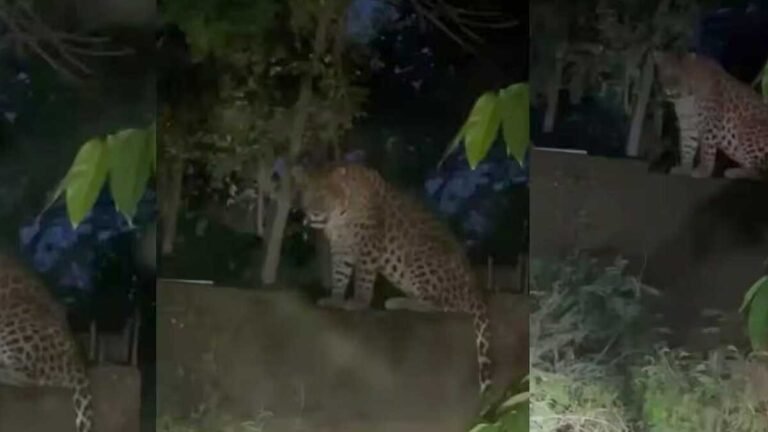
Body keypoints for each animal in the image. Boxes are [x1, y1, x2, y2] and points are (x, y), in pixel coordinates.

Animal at [295, 162, 494, 395]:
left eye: (324, 195)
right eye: (306, 196)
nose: (314, 213)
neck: (341, 216)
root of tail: (477, 290)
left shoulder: (369, 241)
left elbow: (363, 277)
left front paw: (359, 302)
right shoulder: (341, 246)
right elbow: (339, 274)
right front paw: (335, 298)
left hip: (420, 257)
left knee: (443, 305)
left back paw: (397, 301)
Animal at [653, 50, 768, 180]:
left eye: (678, 76)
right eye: (666, 73)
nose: (669, 90)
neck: (685, 99)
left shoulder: (710, 123)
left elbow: (707, 149)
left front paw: (703, 170)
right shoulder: (688, 126)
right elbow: (687, 147)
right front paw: (684, 168)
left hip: (748, 129)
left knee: (758, 171)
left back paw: (735, 172)